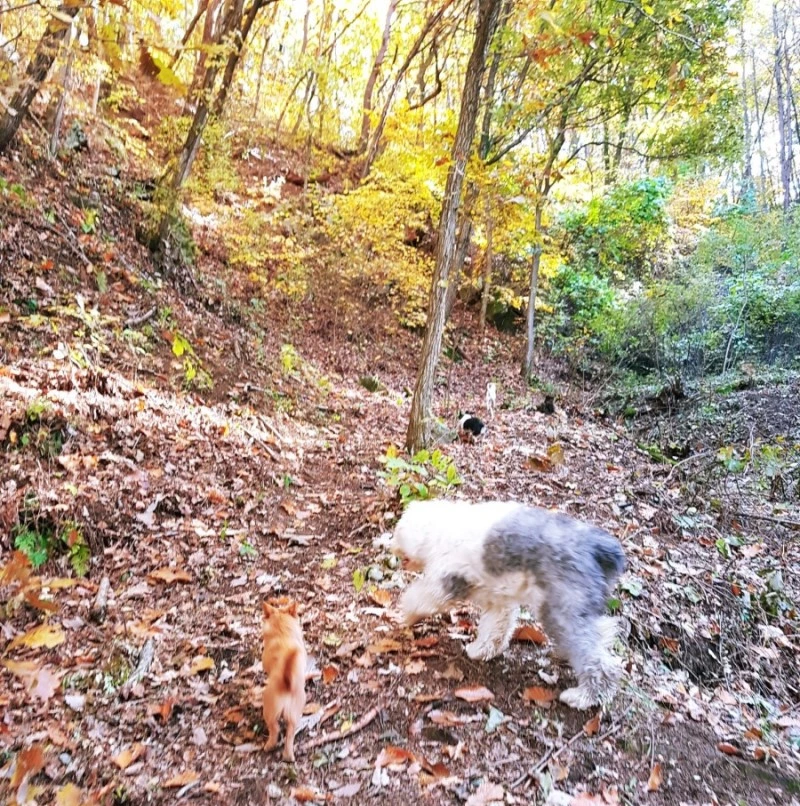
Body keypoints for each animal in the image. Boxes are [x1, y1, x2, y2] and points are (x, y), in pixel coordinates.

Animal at [261, 599, 307, 762]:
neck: (282, 633)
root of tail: (286, 683)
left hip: (269, 710)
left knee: (275, 728)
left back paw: (269, 745)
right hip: (295, 714)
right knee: (290, 734)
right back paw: (289, 756)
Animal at [391, 499, 625, 709]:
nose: (392, 549)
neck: (442, 526)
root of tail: (596, 547)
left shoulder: (445, 580)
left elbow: (420, 598)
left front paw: (406, 615)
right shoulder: (497, 602)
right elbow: (495, 629)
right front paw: (481, 650)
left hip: (562, 614)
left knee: (600, 663)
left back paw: (584, 697)